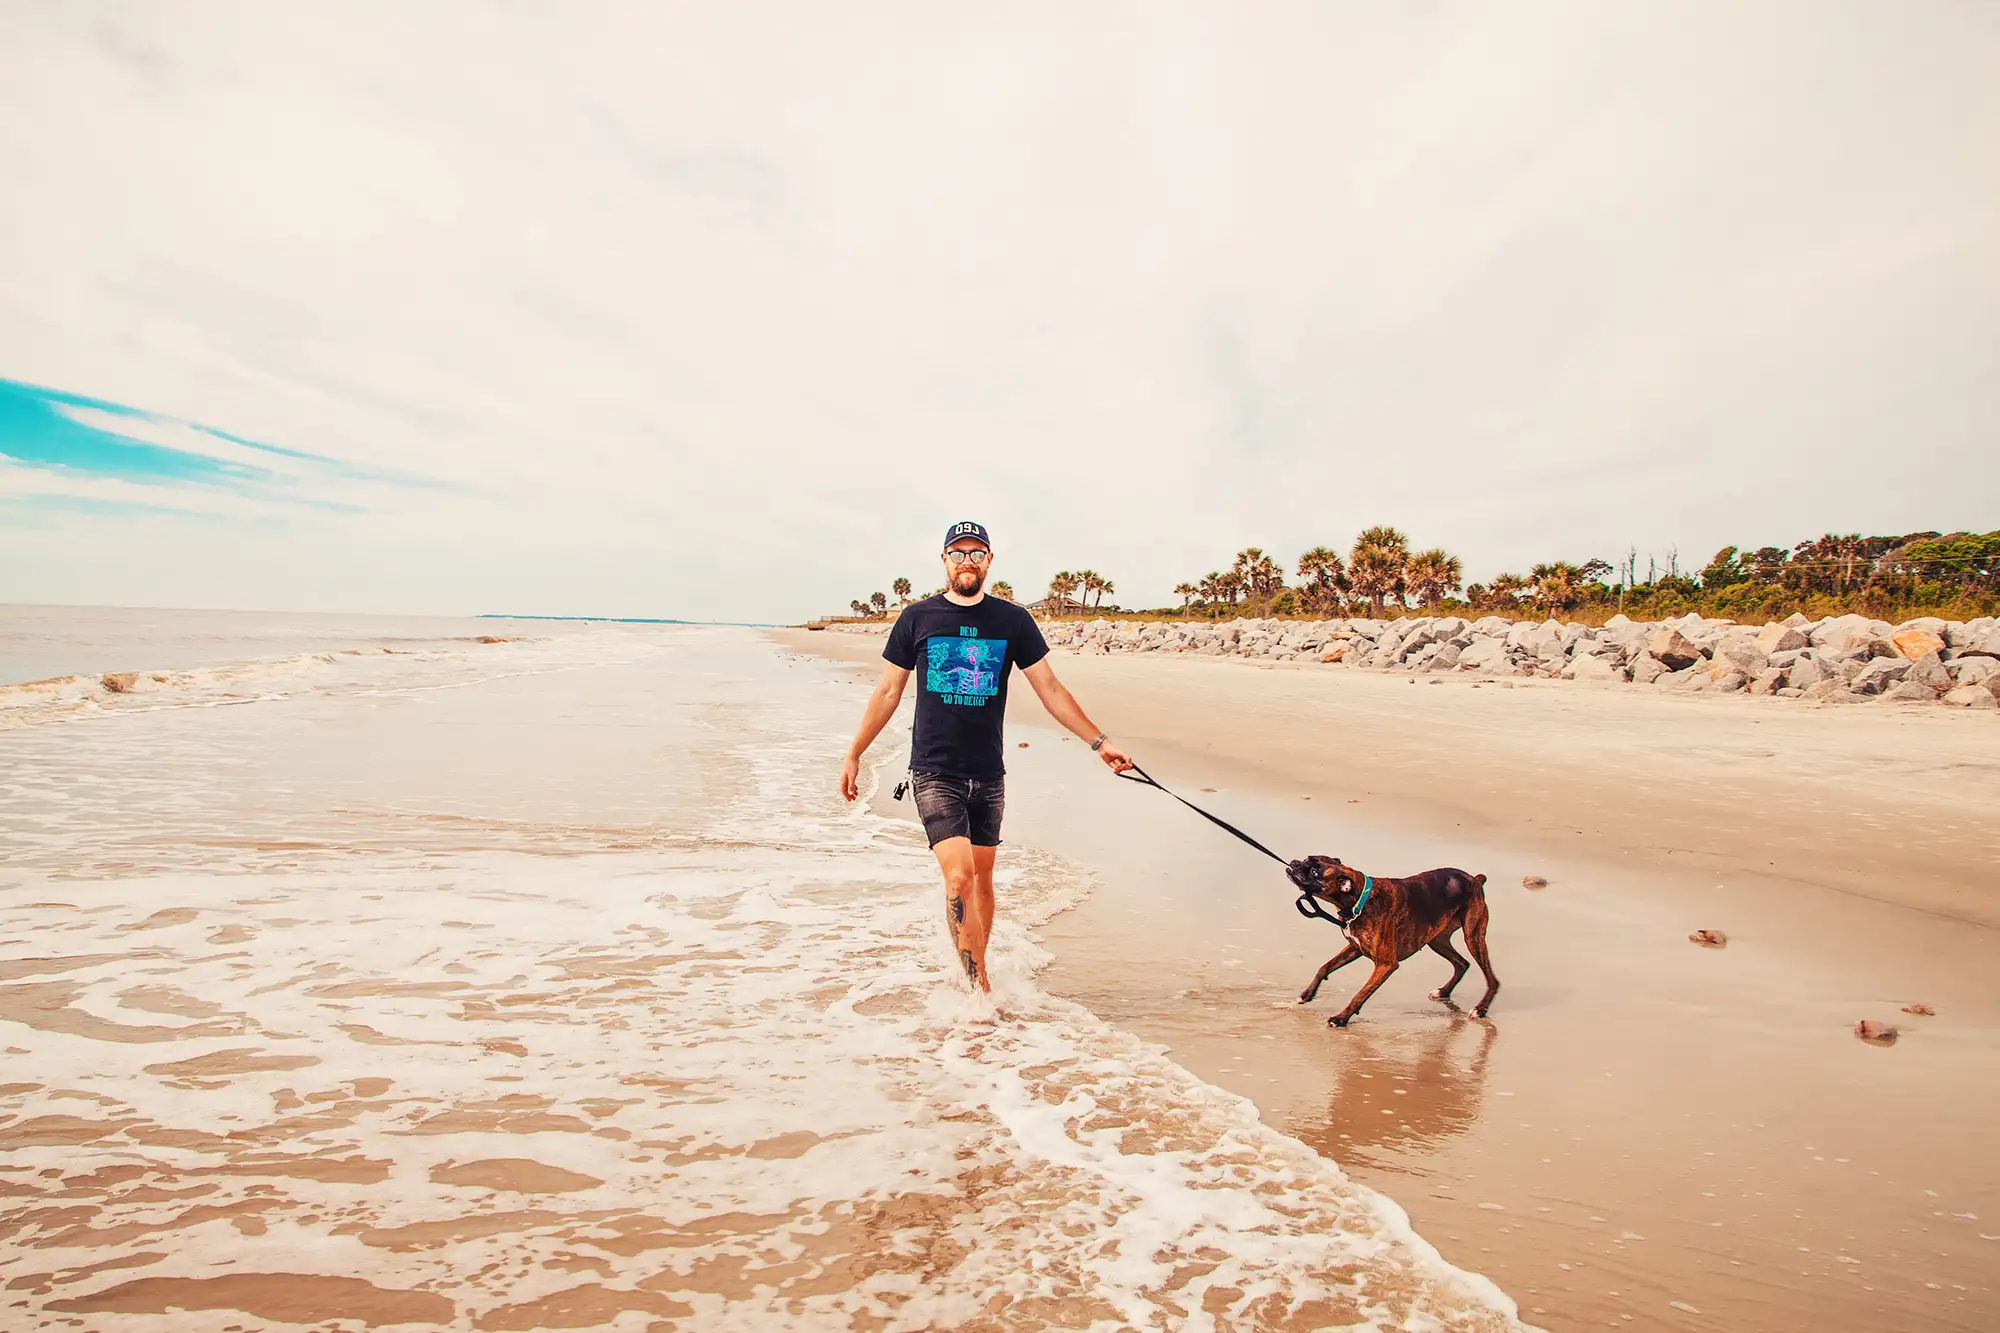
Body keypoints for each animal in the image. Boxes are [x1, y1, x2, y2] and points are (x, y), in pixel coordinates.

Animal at [1280, 852, 1504, 1024]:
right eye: (1306, 859)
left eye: (1314, 872)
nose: (1295, 862)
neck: (1359, 900)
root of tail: (1474, 879)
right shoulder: (1354, 948)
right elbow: (1324, 967)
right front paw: (1307, 995)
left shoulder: (1386, 964)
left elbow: (1361, 993)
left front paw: (1341, 1019)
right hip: (1436, 940)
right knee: (1461, 963)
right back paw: (1443, 991)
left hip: (1473, 937)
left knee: (1491, 979)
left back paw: (1480, 1009)